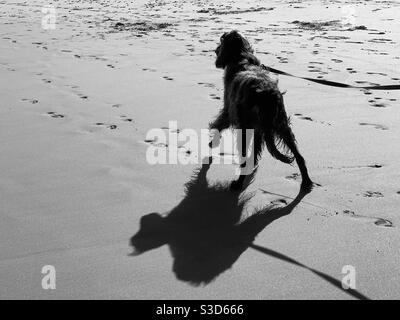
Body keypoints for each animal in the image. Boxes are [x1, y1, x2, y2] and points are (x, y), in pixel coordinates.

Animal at [208, 30, 314, 192]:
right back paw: (306, 181)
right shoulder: (258, 128)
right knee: (299, 156)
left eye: (221, 43)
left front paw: (212, 141)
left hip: (245, 128)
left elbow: (219, 124)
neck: (242, 56)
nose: (215, 50)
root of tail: (265, 93)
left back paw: (238, 183)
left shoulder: (229, 110)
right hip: (282, 124)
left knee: (243, 159)